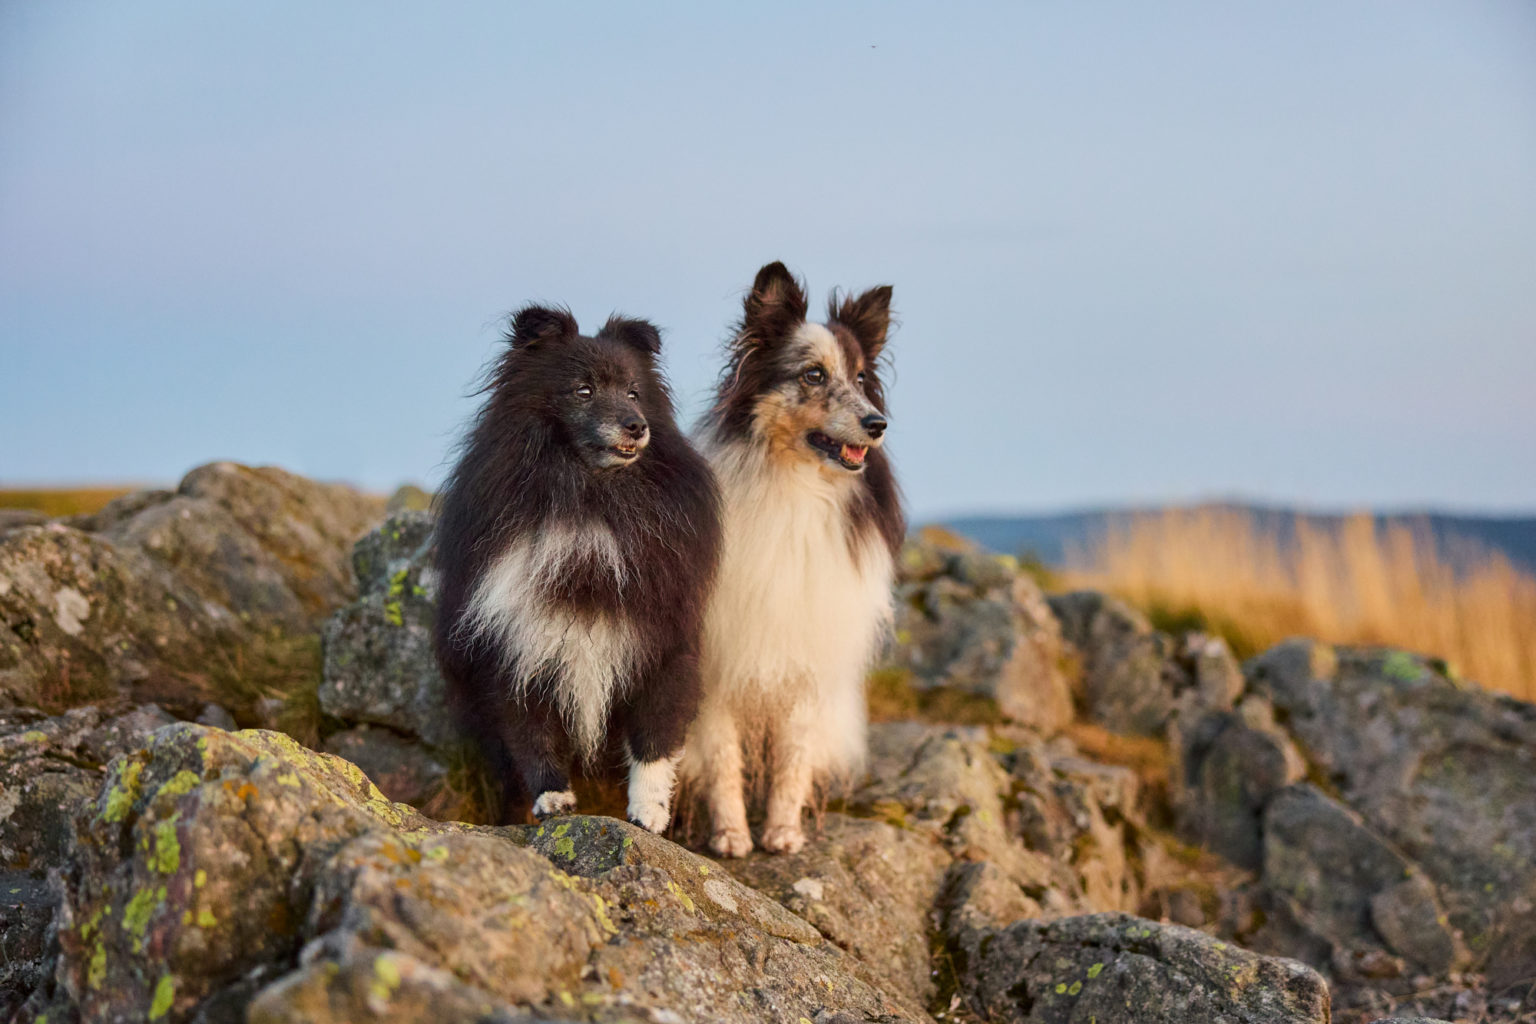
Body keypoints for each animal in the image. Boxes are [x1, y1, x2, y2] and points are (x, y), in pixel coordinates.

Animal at [433, 307, 718, 835]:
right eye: (583, 391)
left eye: (634, 392)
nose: (636, 426)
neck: (589, 499)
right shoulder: (516, 642)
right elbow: (531, 732)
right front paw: (554, 801)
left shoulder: (661, 642)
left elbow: (655, 735)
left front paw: (649, 813)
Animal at [681, 264, 897, 859]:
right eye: (814, 375)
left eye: (863, 378)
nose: (878, 424)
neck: (796, 489)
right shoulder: (716, 662)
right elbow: (723, 757)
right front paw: (731, 836)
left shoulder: (805, 656)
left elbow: (793, 757)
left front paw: (782, 833)